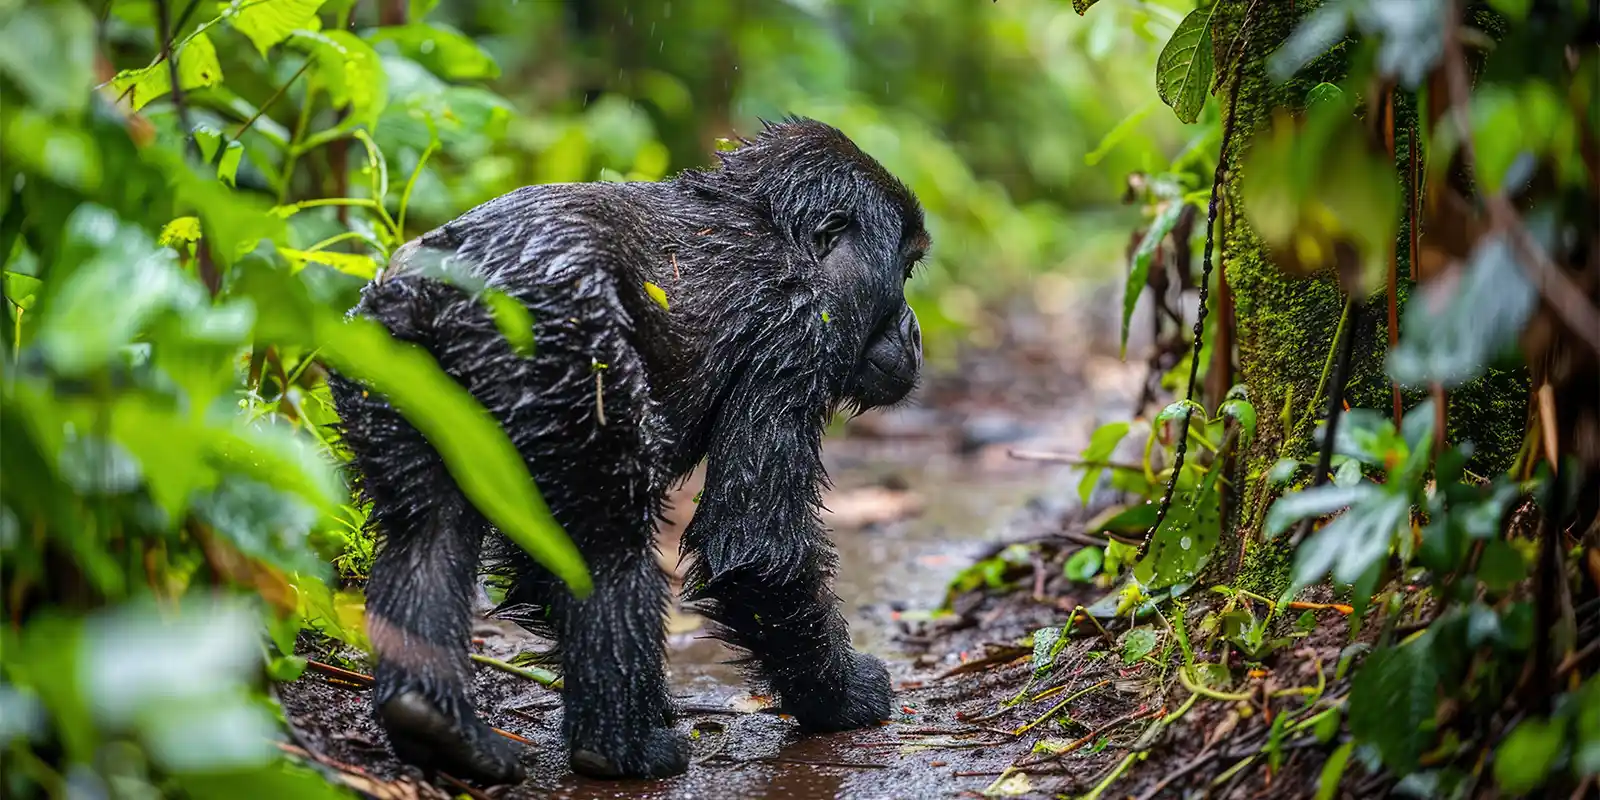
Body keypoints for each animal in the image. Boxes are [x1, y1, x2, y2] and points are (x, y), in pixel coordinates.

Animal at [327, 117, 929, 785]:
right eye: (903, 273)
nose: (914, 332)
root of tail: (430, 295)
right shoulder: (799, 335)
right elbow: (756, 545)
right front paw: (841, 697)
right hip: (565, 355)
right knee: (606, 538)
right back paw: (622, 748)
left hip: (384, 363)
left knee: (425, 529)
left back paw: (435, 722)